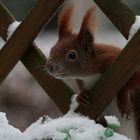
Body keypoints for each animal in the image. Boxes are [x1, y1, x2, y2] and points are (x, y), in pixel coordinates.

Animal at [46, 5, 139, 140]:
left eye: (72, 55)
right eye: (52, 49)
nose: (49, 66)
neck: (89, 75)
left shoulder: (120, 62)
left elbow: (130, 82)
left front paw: (123, 103)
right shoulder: (82, 80)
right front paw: (81, 96)